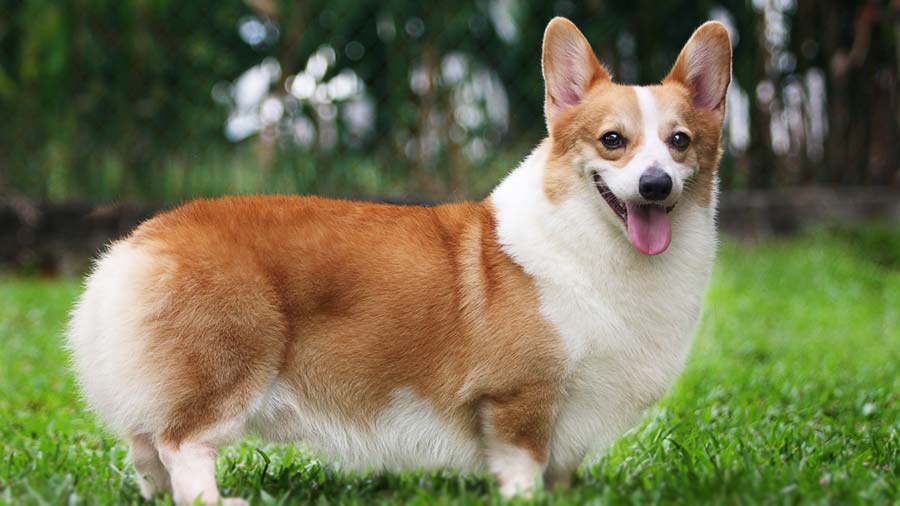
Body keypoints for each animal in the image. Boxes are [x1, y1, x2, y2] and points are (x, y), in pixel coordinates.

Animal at [68, 17, 732, 504]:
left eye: (680, 142)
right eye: (612, 141)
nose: (654, 186)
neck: (595, 246)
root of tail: (137, 243)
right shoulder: (520, 399)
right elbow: (523, 465)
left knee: (145, 445)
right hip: (231, 362)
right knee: (182, 443)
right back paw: (217, 499)